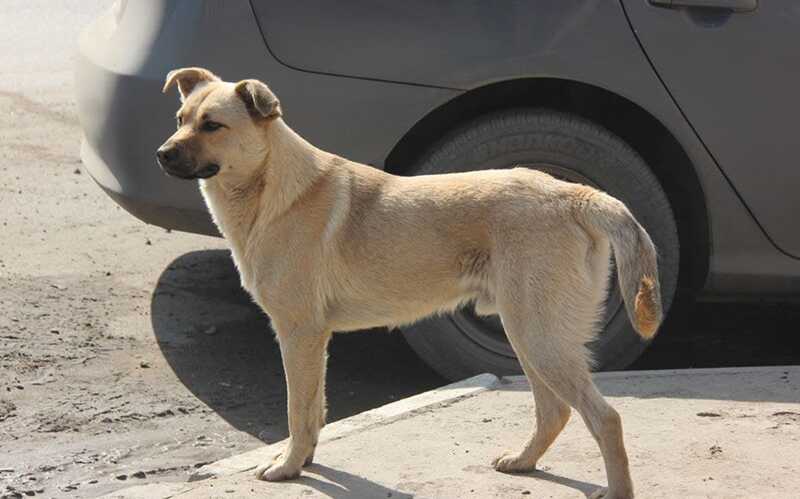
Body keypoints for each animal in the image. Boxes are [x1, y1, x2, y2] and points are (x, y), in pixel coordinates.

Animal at [158, 67, 664, 499]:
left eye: (212, 126)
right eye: (180, 120)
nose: (162, 154)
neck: (271, 187)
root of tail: (574, 195)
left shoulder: (299, 335)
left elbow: (297, 412)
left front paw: (288, 467)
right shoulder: (313, 342)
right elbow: (315, 412)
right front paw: (305, 460)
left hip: (540, 338)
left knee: (605, 418)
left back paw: (616, 489)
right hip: (530, 336)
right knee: (555, 412)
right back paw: (523, 462)